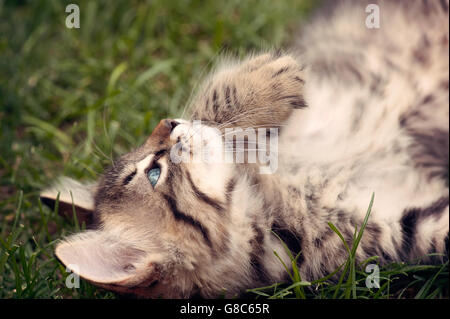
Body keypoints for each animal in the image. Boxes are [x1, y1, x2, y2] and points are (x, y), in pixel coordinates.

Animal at [41, 0, 446, 300]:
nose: (166, 123)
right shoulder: (394, 227)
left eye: (150, 160)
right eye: (154, 173)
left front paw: (260, 81)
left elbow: (211, 115)